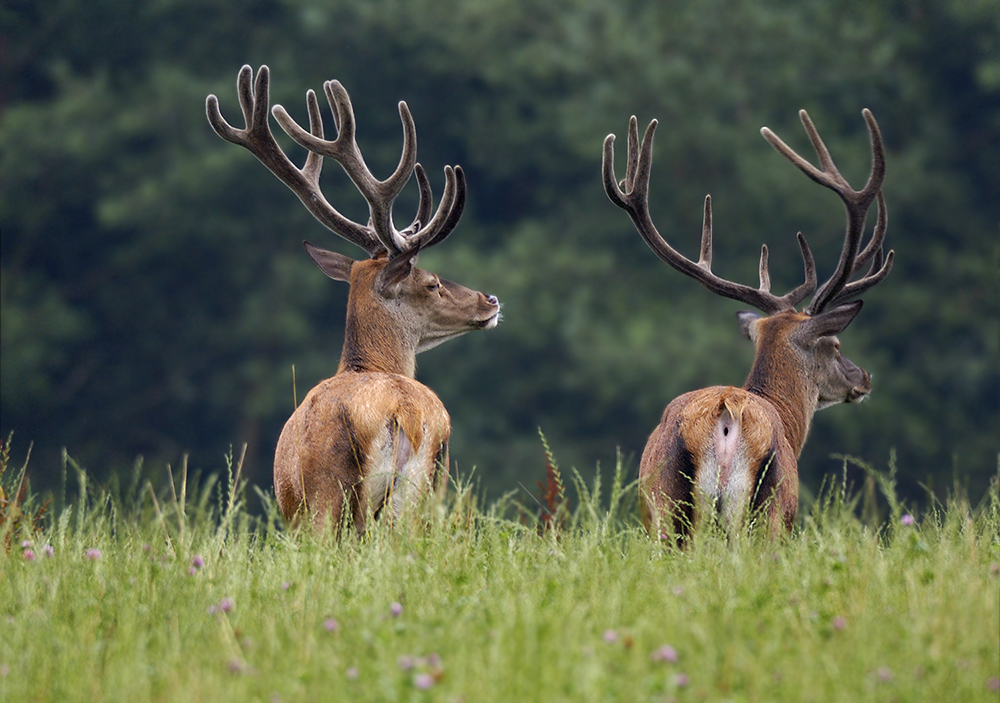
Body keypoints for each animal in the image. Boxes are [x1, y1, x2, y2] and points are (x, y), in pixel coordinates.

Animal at [600, 108, 892, 540]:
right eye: (836, 344)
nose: (864, 378)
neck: (787, 420)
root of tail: (726, 412)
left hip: (664, 507)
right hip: (766, 509)